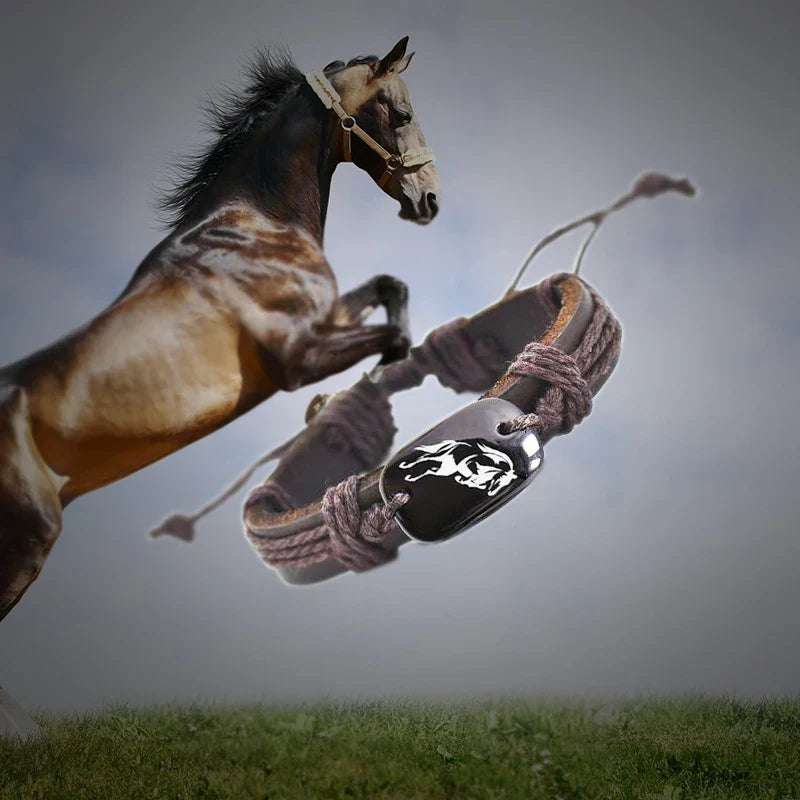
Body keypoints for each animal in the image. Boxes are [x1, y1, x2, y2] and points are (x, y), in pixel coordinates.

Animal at [0, 35, 440, 634]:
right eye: (403, 114)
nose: (430, 200)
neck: (255, 222)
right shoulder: (299, 357)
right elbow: (392, 336)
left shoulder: (325, 319)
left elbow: (390, 289)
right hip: (21, 552)